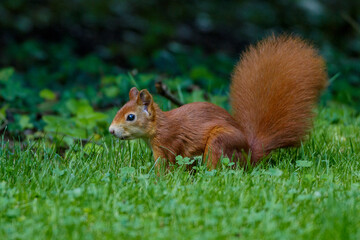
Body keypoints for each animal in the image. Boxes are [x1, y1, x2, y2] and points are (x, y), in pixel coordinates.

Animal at [108, 35, 328, 169]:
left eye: (130, 117)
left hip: (219, 142)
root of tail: (249, 153)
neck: (159, 126)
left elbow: (166, 167)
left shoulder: (169, 144)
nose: (110, 130)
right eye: (119, 110)